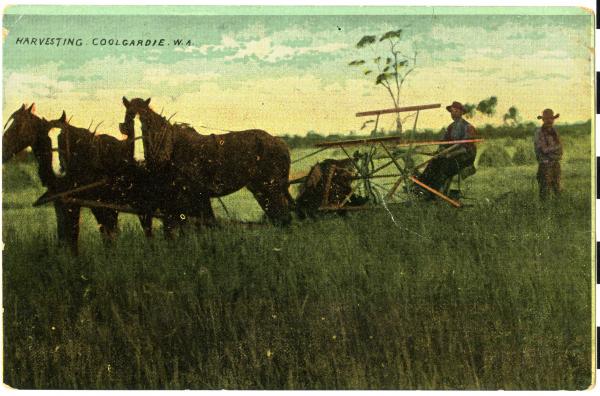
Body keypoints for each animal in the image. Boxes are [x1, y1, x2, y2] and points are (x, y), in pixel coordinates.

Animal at [120, 96, 292, 226]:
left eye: (146, 121)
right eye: (128, 119)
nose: (139, 160)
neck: (171, 147)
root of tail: (279, 142)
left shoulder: (194, 196)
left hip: (271, 188)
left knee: (283, 218)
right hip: (260, 190)